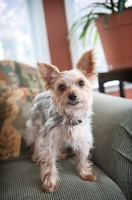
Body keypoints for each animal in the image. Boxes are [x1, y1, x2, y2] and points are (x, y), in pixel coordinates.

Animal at [24, 49, 98, 192]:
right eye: (61, 87)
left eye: (81, 83)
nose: (73, 95)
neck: (71, 118)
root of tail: (40, 94)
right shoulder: (51, 141)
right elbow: (49, 163)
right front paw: (50, 183)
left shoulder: (83, 139)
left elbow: (83, 157)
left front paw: (85, 173)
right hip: (36, 126)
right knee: (36, 141)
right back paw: (35, 155)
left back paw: (61, 154)